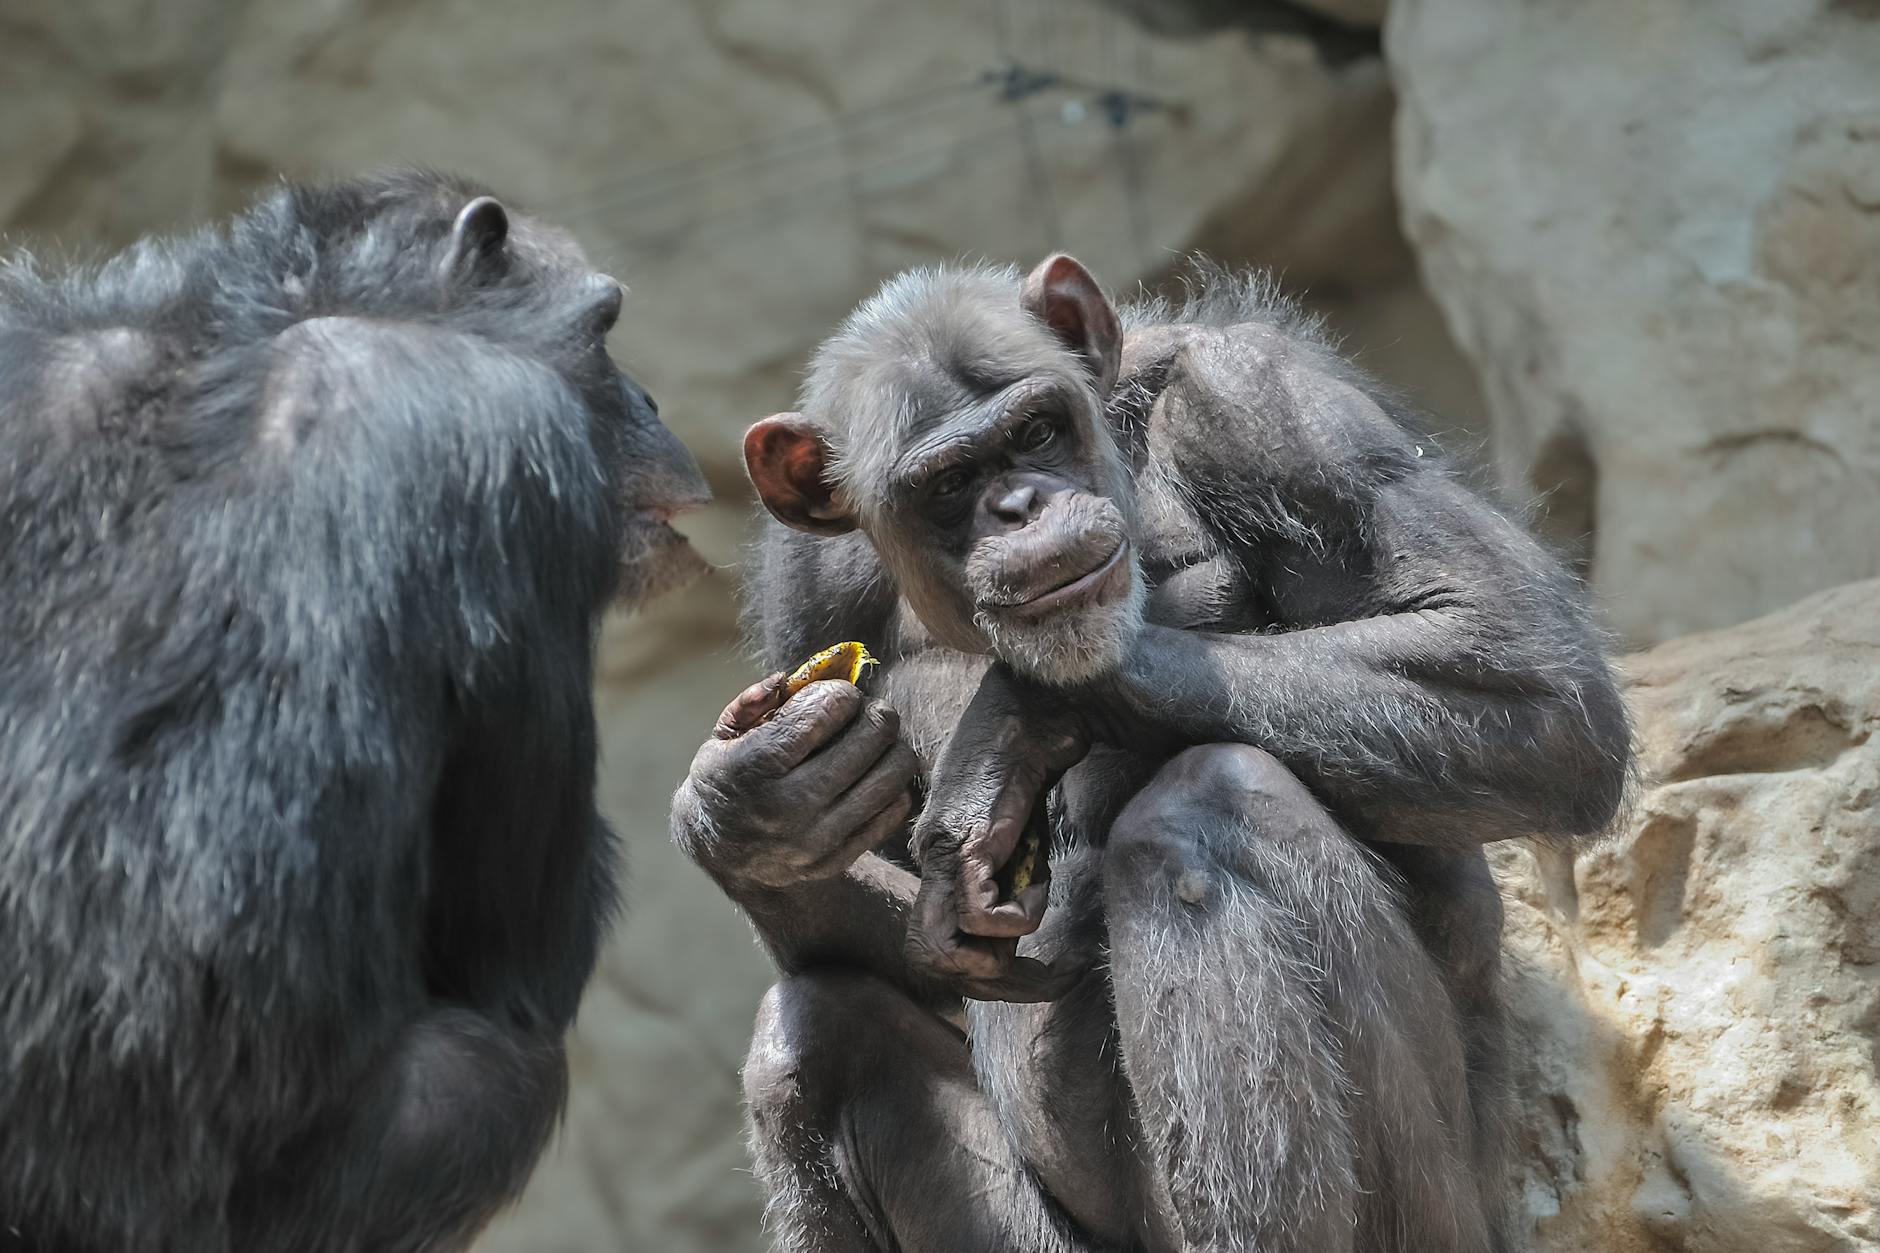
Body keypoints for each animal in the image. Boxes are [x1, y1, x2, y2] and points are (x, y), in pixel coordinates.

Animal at [672, 253, 1631, 1251]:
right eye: (948, 481)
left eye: (1036, 429)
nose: (1020, 507)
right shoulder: (801, 588)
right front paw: (750, 812)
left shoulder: (1263, 401)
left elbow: (1525, 672)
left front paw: (1013, 718)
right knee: (812, 1035)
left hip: (1444, 1217)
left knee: (1208, 805)